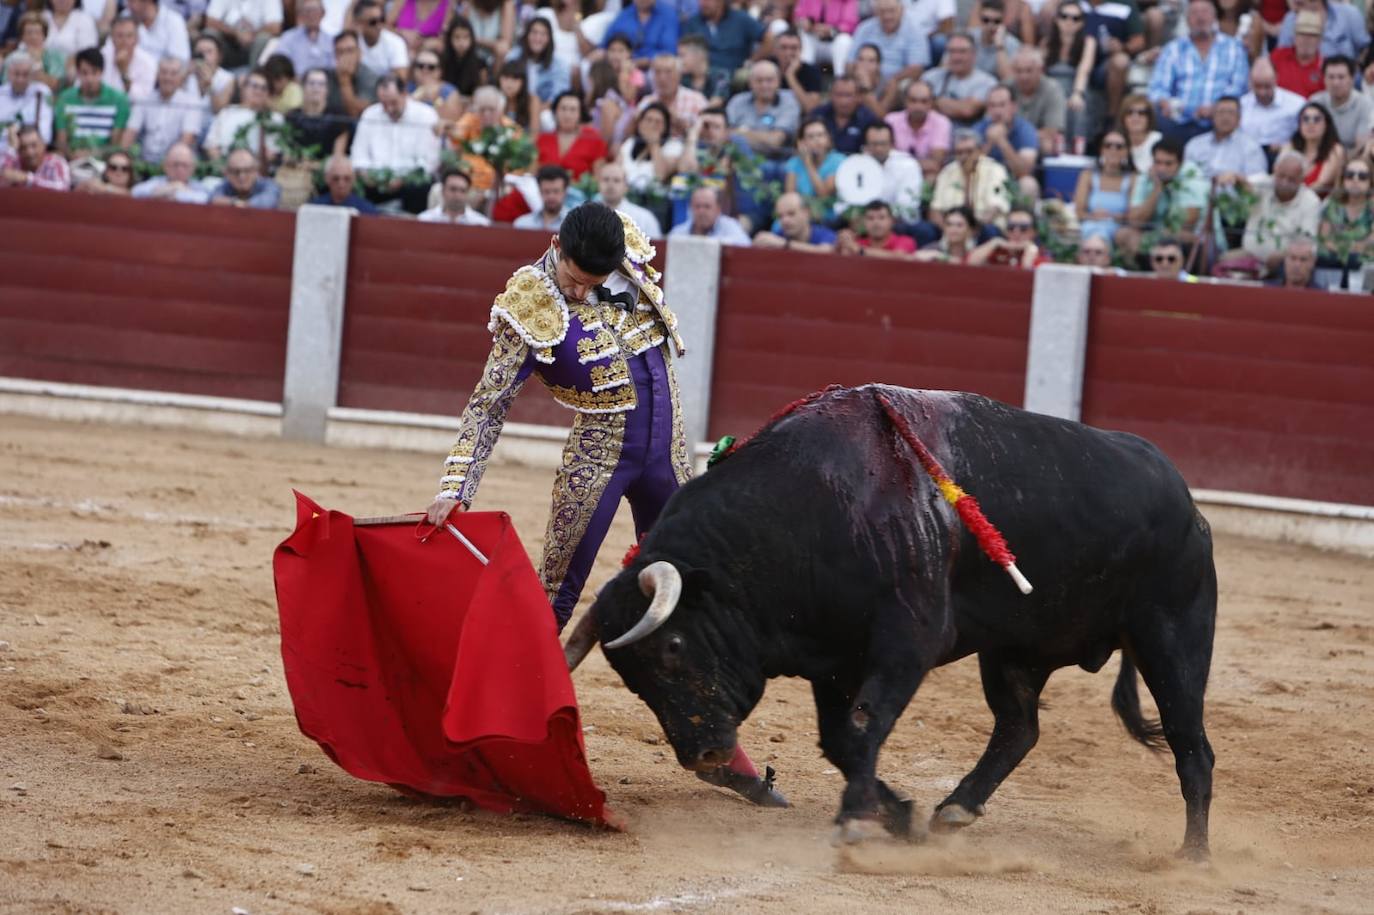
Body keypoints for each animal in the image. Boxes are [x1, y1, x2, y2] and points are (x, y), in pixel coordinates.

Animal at [563, 381, 1220, 857]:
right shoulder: (832, 659)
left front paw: (857, 818)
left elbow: (864, 723)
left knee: (1191, 744)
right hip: (1014, 651)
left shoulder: (909, 641)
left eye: (673, 647)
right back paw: (955, 808)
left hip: (1172, 636)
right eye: (631, 680)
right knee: (1019, 728)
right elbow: (840, 739)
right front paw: (899, 814)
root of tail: (1188, 504)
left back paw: (1192, 855)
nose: (701, 754)